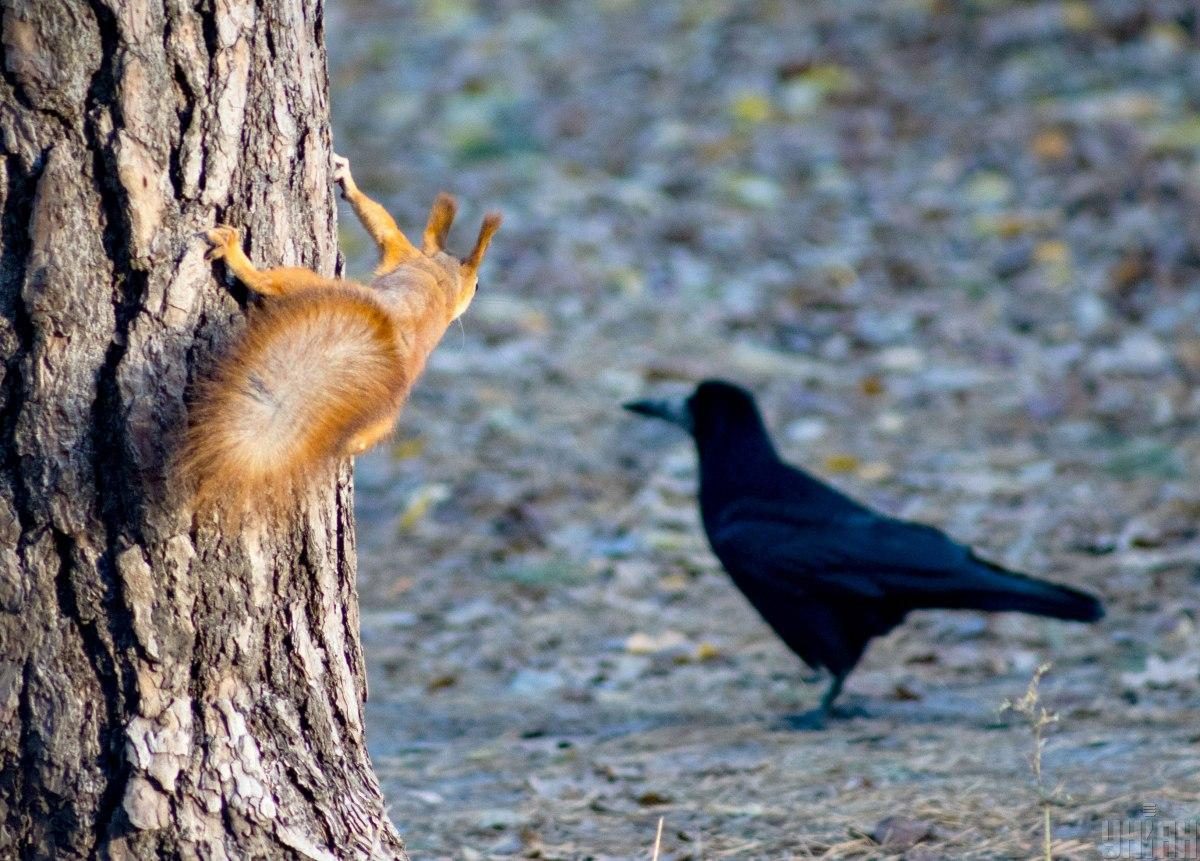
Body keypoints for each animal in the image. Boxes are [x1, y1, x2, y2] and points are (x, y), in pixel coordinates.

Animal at [184, 153, 501, 512]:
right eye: (477, 286)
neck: (440, 277)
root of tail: (390, 329)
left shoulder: (401, 253)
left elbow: (384, 225)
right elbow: (381, 221)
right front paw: (346, 178)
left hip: (312, 287)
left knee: (270, 283)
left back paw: (238, 259)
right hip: (385, 415)